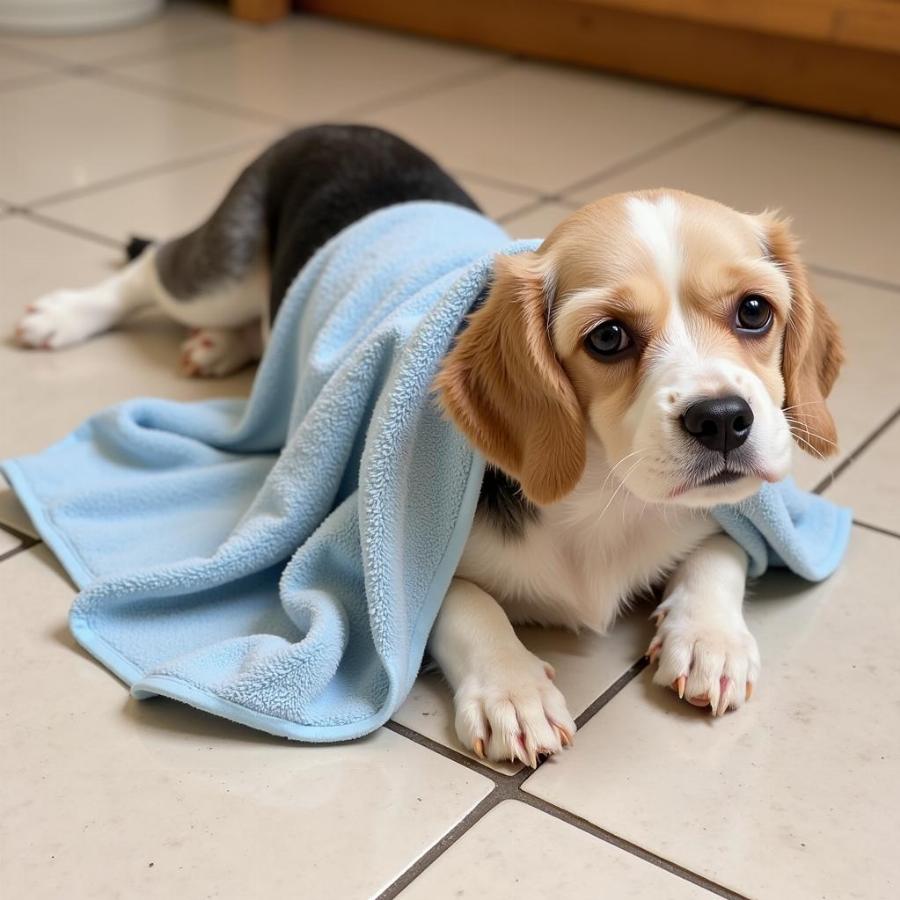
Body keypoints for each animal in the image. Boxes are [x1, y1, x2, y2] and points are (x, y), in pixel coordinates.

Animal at [15, 123, 844, 768]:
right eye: (608, 338)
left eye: (755, 312)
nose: (723, 419)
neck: (602, 496)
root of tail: (329, 123)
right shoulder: (386, 555)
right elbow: (464, 602)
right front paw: (513, 689)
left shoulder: (729, 515)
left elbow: (719, 553)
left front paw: (708, 639)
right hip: (220, 265)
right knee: (147, 271)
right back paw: (64, 316)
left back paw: (224, 347)